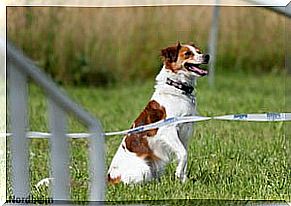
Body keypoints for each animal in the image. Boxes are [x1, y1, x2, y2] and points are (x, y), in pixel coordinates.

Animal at [107, 41, 210, 183]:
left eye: (199, 52)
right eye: (187, 53)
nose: (207, 56)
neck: (177, 88)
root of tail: (110, 177)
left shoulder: (185, 131)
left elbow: (184, 155)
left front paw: (183, 180)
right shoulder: (169, 129)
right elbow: (183, 153)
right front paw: (178, 174)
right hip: (144, 169)